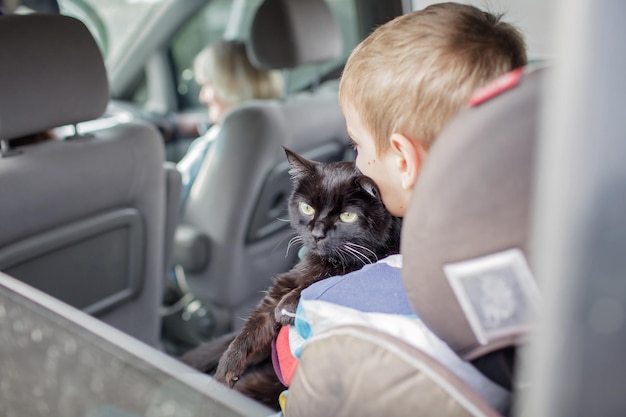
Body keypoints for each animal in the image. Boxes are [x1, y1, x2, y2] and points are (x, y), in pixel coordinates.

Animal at [179, 148, 400, 408]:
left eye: (347, 216)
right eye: (307, 208)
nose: (316, 234)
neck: (322, 261)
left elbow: (338, 273)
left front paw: (288, 306)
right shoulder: (281, 287)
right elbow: (248, 333)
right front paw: (224, 374)